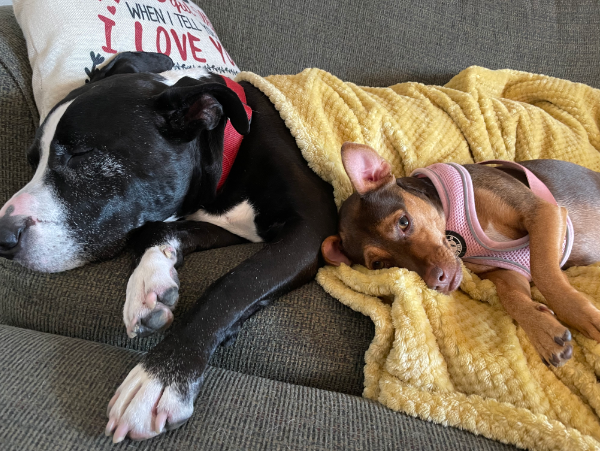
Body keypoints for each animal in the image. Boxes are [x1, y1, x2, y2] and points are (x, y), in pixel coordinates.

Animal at [0, 52, 338, 442]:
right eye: (31, 161)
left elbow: (233, 284)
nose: (1, 236)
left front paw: (160, 377)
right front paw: (149, 283)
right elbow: (153, 230)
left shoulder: (312, 230)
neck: (229, 151)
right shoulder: (228, 227)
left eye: (81, 155)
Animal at [324, 143, 600, 370]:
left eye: (403, 222)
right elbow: (512, 298)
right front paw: (543, 331)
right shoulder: (508, 270)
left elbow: (545, 273)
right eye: (380, 264)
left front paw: (581, 315)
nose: (437, 282)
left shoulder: (542, 211)